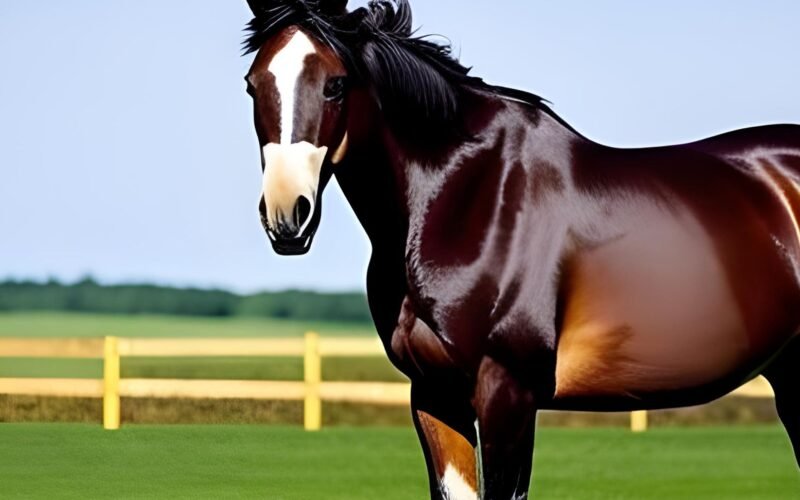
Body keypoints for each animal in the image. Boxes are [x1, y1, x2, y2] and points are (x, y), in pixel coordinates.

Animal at [240, 1, 800, 498]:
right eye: (253, 84)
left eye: (336, 83)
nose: (287, 213)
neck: (468, 195)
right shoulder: (435, 394)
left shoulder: (506, 391)